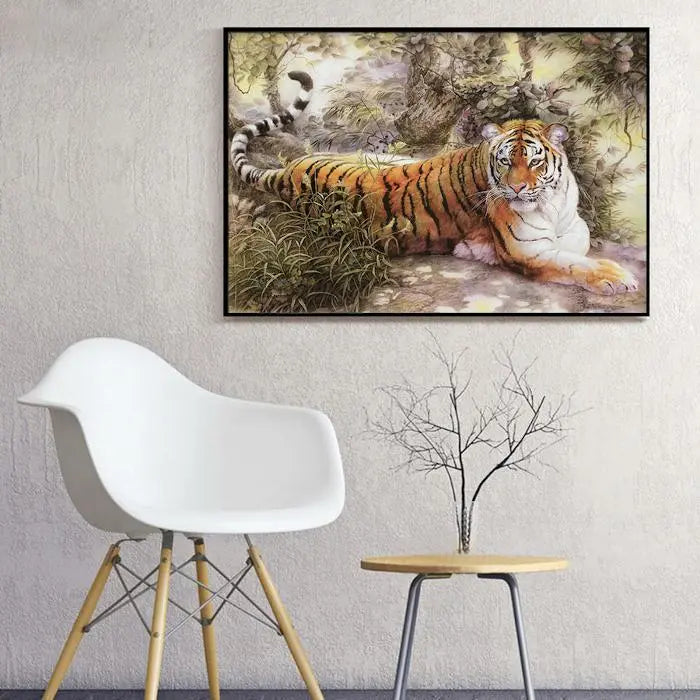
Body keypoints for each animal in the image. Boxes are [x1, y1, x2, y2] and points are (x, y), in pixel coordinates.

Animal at [231, 71, 638, 295]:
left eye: (535, 161)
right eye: (506, 161)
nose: (517, 189)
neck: (551, 203)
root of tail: (287, 172)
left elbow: (580, 243)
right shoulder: (528, 251)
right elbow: (575, 264)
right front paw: (619, 277)